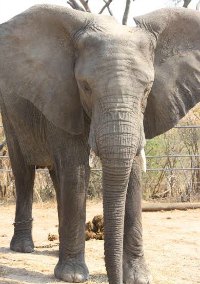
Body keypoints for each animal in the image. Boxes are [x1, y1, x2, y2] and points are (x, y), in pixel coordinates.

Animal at [0, 4, 199, 284]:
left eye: (148, 89)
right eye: (85, 86)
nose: (117, 279)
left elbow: (132, 173)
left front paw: (138, 278)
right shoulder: (63, 97)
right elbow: (76, 168)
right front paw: (72, 276)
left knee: (57, 175)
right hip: (9, 112)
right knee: (24, 172)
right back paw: (23, 247)